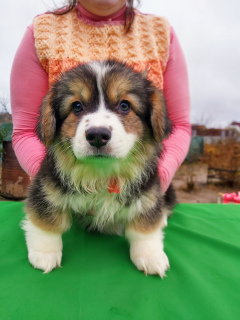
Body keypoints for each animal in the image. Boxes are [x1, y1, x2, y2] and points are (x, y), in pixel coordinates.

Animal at [23, 60, 176, 278]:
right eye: (77, 106)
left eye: (124, 105)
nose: (97, 135)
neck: (100, 172)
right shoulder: (45, 187)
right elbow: (46, 220)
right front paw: (44, 254)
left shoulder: (148, 191)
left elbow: (144, 225)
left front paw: (151, 256)